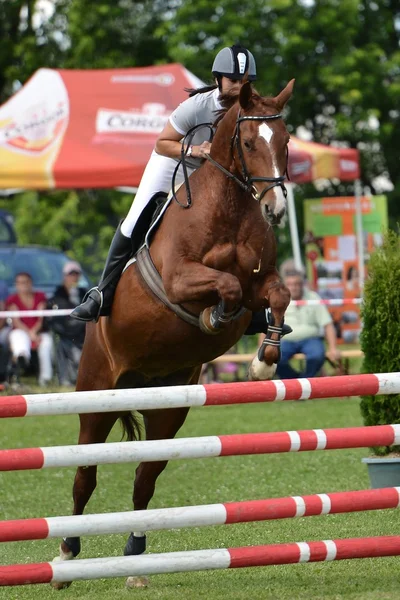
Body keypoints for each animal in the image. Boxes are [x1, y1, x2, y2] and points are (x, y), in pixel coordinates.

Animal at [50, 77, 294, 588]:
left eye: (285, 143)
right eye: (247, 143)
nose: (276, 208)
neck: (230, 209)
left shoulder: (263, 284)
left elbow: (276, 294)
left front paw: (264, 359)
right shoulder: (181, 279)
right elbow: (225, 287)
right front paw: (215, 317)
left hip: (169, 408)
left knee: (146, 476)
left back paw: (136, 559)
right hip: (96, 394)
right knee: (85, 474)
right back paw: (64, 556)